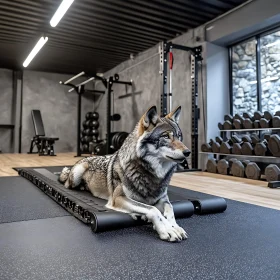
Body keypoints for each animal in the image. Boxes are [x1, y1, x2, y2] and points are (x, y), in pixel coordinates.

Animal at [59, 106, 190, 242]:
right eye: (166, 136)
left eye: (179, 137)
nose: (188, 152)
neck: (151, 175)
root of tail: (84, 158)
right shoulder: (118, 198)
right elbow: (153, 209)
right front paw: (167, 229)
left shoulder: (163, 199)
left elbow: (170, 209)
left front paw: (175, 226)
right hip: (76, 176)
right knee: (67, 184)